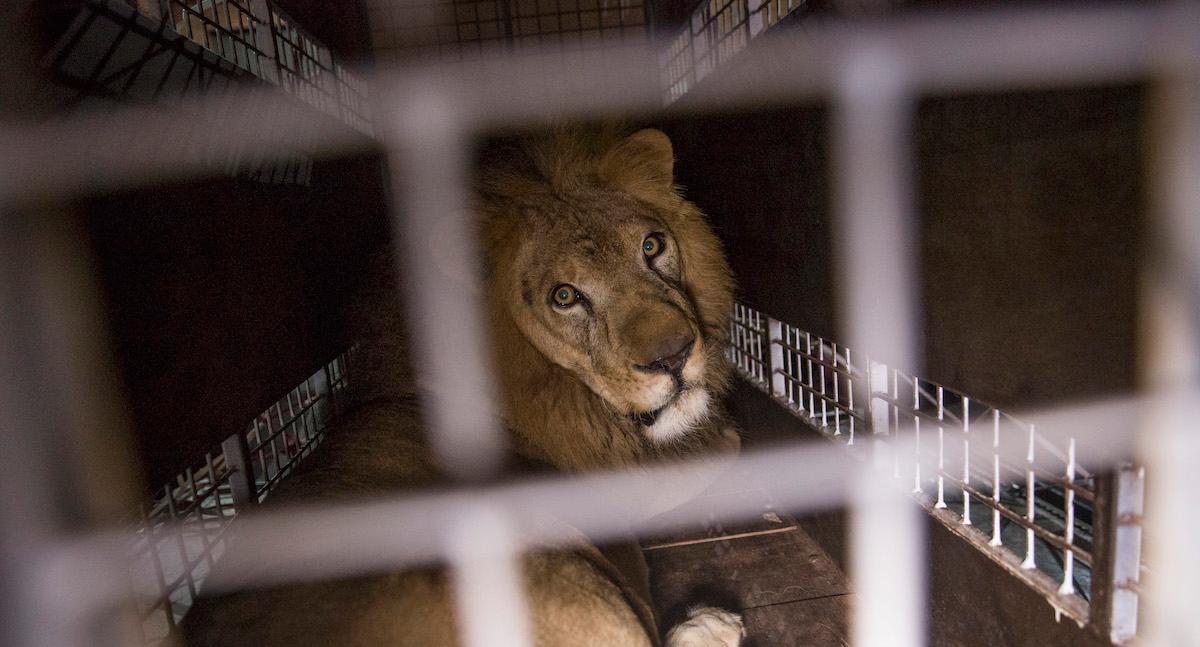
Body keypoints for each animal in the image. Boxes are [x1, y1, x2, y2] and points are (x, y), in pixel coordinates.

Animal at [182, 127, 744, 647]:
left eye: (651, 246)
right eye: (565, 296)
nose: (673, 355)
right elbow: (716, 454)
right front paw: (727, 436)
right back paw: (709, 625)